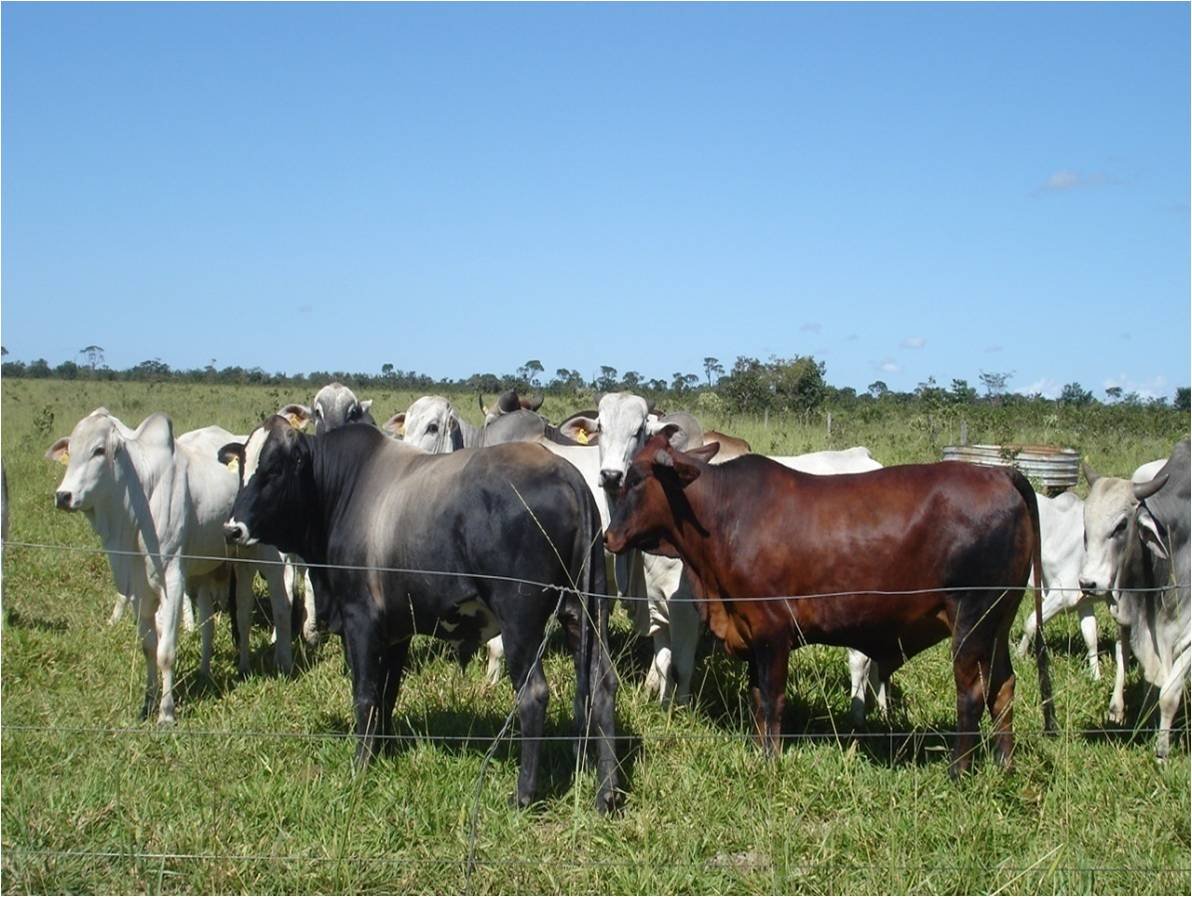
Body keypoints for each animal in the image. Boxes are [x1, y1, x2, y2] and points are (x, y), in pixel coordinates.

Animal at [218, 416, 619, 810]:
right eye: (244, 467)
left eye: (274, 469)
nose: (232, 529)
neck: (339, 489)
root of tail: (567, 475)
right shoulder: (397, 630)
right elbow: (388, 692)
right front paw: (381, 748)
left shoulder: (360, 620)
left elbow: (365, 694)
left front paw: (360, 764)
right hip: (585, 612)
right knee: (602, 684)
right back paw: (607, 793)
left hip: (520, 623)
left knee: (533, 694)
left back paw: (523, 795)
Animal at [610, 431, 1058, 771]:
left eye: (636, 479)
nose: (610, 536)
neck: (722, 516)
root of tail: (1001, 474)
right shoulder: (750, 633)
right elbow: (756, 701)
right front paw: (757, 751)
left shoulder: (772, 631)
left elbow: (771, 700)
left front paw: (770, 760)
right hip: (997, 623)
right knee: (1003, 686)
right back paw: (1003, 764)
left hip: (972, 621)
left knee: (972, 693)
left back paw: (958, 771)